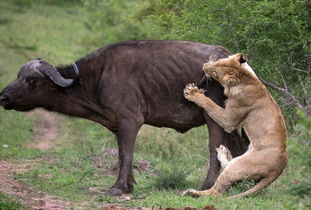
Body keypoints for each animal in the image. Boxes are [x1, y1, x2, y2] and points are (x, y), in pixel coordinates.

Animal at [0, 40, 249, 196]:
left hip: (214, 117)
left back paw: (207, 185)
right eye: (18, 76)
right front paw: (129, 185)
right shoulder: (119, 125)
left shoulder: (129, 121)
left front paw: (118, 187)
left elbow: (125, 154)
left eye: (31, 81)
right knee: (239, 147)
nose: (3, 97)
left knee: (215, 148)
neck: (96, 79)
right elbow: (123, 154)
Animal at [183, 53, 288, 199]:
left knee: (216, 192)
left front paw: (192, 92)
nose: (204, 65)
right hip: (238, 164)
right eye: (219, 61)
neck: (247, 79)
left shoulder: (229, 120)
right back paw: (222, 151)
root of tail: (279, 169)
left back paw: (192, 192)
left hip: (238, 165)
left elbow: (210, 104)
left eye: (215, 72)